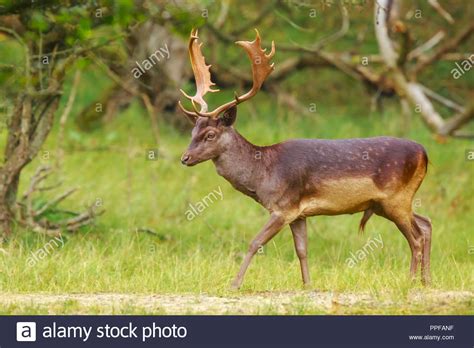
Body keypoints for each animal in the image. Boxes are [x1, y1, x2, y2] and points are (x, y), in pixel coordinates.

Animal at [177, 29, 430, 290]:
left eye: (210, 134)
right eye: (193, 130)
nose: (185, 158)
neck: (263, 174)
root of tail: (424, 153)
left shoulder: (283, 207)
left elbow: (255, 242)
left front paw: (234, 284)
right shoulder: (299, 213)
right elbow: (302, 250)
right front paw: (308, 284)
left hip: (395, 198)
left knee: (417, 237)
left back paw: (411, 281)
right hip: (387, 203)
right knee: (426, 224)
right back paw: (426, 280)